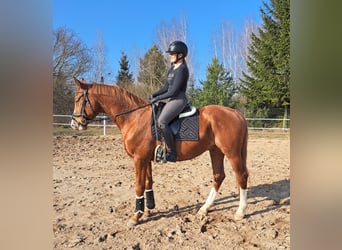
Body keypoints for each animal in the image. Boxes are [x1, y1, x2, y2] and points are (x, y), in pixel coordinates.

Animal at [70, 77, 248, 228]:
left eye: (78, 99)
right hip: (215, 151)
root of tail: (236, 113)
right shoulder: (146, 159)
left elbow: (139, 186)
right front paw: (147, 211)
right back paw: (204, 209)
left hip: (231, 153)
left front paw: (135, 217)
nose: (74, 124)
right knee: (219, 176)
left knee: (241, 176)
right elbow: (148, 183)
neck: (134, 117)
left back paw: (239, 212)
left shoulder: (139, 159)